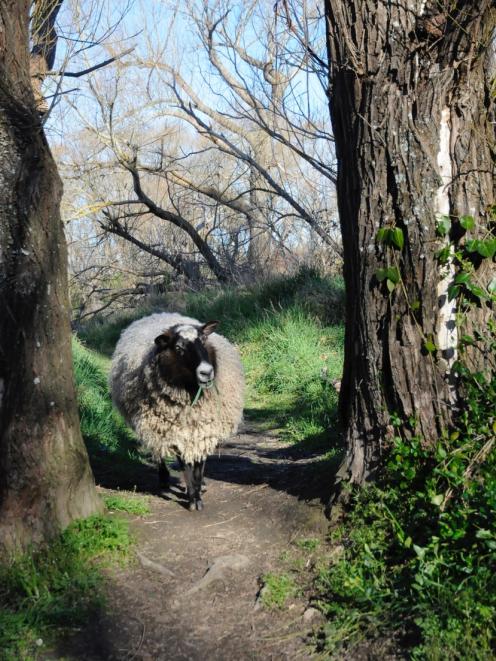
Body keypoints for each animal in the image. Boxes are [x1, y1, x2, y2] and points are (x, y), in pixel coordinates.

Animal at [111, 314, 246, 510]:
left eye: (203, 340)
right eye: (178, 348)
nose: (206, 372)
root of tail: (157, 314)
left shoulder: (203, 430)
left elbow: (199, 465)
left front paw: (198, 489)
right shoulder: (177, 433)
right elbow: (186, 467)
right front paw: (193, 499)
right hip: (155, 425)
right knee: (158, 451)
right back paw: (164, 479)